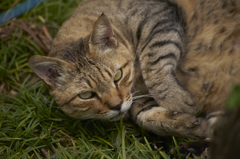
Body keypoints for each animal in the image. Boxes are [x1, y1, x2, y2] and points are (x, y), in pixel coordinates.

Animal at [28, 0, 240, 139]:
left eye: (117, 76)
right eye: (86, 95)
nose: (116, 106)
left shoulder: (159, 18)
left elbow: (153, 62)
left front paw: (175, 99)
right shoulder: (137, 101)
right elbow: (149, 117)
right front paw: (190, 125)